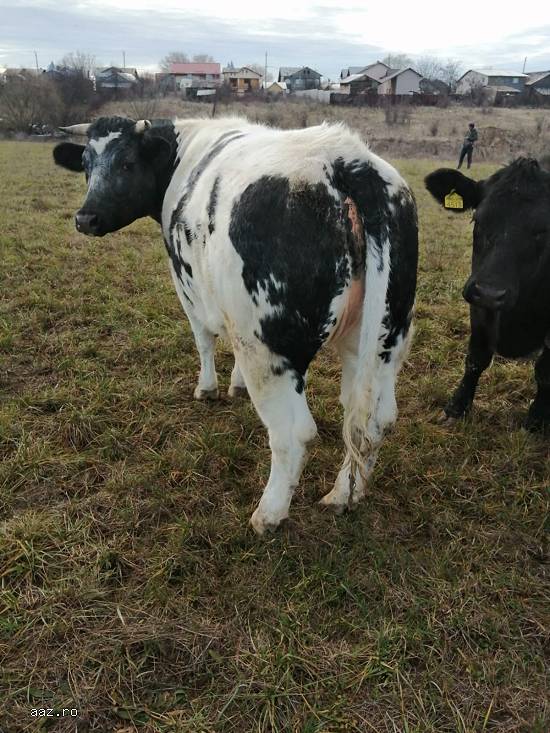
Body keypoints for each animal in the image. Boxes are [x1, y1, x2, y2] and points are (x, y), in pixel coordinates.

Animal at [53, 116, 418, 534]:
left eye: (127, 163)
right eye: (85, 163)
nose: (86, 218)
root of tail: (345, 158)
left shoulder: (189, 288)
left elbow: (204, 339)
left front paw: (208, 388)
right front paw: (236, 384)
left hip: (266, 349)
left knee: (295, 432)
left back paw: (269, 514)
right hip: (381, 340)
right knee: (372, 421)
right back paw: (344, 495)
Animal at [425, 158, 550, 433]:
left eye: (544, 231)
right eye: (477, 220)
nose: (492, 293)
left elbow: (544, 372)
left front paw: (536, 421)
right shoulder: (479, 306)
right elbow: (476, 359)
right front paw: (456, 407)